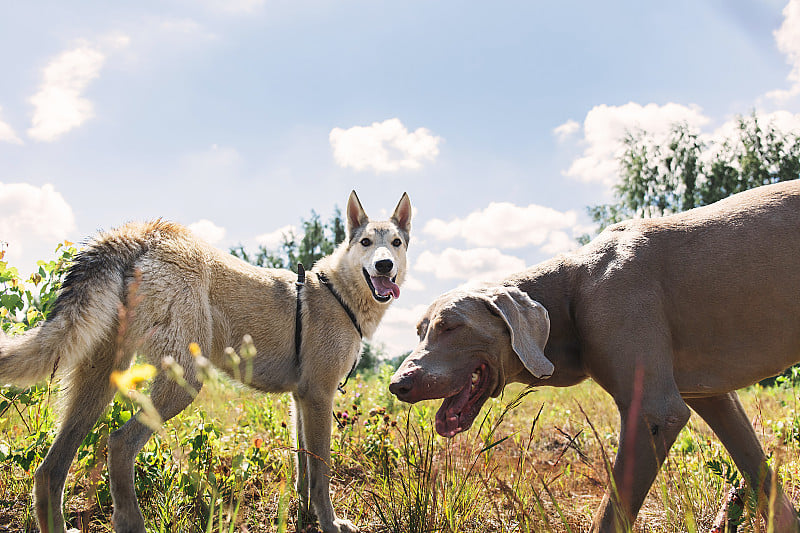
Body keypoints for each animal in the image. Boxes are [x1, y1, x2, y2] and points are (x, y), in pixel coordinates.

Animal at [1, 189, 412, 532]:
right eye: (365, 243)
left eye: (395, 243)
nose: (384, 266)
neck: (340, 293)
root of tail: (147, 232)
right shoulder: (319, 398)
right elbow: (321, 473)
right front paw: (329, 524)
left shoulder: (302, 401)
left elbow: (305, 475)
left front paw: (308, 518)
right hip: (181, 384)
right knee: (117, 443)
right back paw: (131, 522)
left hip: (97, 387)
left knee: (50, 470)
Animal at [392, 181, 800, 528]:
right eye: (420, 330)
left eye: (450, 326)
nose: (398, 384)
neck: (572, 292)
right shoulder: (711, 395)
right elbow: (759, 471)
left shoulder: (655, 410)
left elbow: (612, 513)